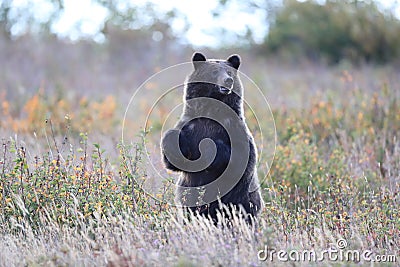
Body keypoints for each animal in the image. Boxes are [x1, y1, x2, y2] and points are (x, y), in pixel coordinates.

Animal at [161, 51, 264, 222]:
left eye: (229, 72)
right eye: (214, 72)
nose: (228, 80)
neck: (211, 111)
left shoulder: (235, 130)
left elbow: (239, 158)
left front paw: (208, 147)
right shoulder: (190, 125)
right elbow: (173, 160)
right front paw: (172, 139)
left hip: (243, 200)